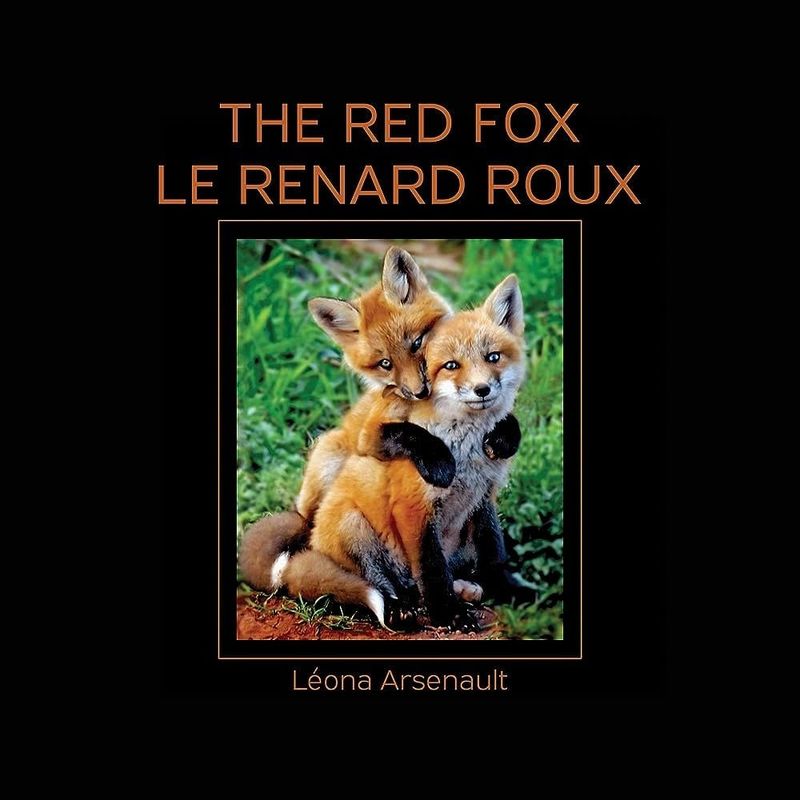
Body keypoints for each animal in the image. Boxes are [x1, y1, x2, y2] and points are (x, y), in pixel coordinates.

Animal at [269, 275, 527, 628]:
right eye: (451, 366)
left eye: (493, 357)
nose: (482, 389)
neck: (466, 450)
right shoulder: (413, 506)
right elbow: (432, 570)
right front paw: (447, 614)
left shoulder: (483, 498)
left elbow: (494, 552)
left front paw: (506, 591)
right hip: (351, 523)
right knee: (381, 585)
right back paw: (399, 607)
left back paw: (463, 587)